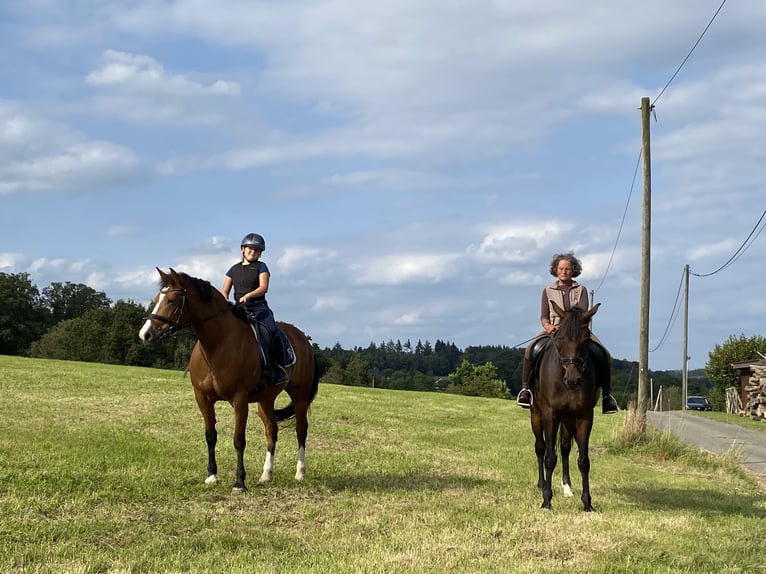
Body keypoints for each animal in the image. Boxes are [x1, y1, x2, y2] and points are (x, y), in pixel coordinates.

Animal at [137, 268, 318, 492]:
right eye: (156, 299)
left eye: (171, 300)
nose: (144, 334)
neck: (218, 345)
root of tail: (303, 339)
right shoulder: (202, 398)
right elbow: (210, 436)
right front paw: (212, 476)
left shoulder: (239, 400)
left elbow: (239, 440)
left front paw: (239, 482)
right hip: (266, 400)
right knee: (271, 430)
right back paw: (266, 475)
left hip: (299, 396)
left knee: (301, 430)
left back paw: (300, 473)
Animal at [528, 302, 608, 512]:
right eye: (560, 338)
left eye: (586, 339)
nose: (573, 380)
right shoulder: (550, 415)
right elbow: (549, 458)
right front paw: (547, 501)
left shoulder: (584, 417)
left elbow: (583, 461)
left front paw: (587, 503)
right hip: (536, 415)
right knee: (540, 447)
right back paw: (541, 484)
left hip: (568, 420)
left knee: (564, 448)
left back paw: (567, 487)